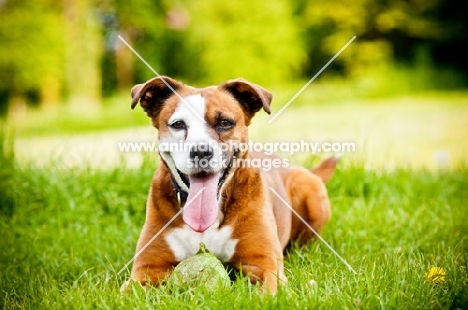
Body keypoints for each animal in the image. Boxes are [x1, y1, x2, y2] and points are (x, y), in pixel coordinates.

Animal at [123, 75, 336, 294]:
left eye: (225, 123)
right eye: (178, 124)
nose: (201, 151)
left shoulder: (264, 263)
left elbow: (268, 292)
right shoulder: (147, 268)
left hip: (309, 187)